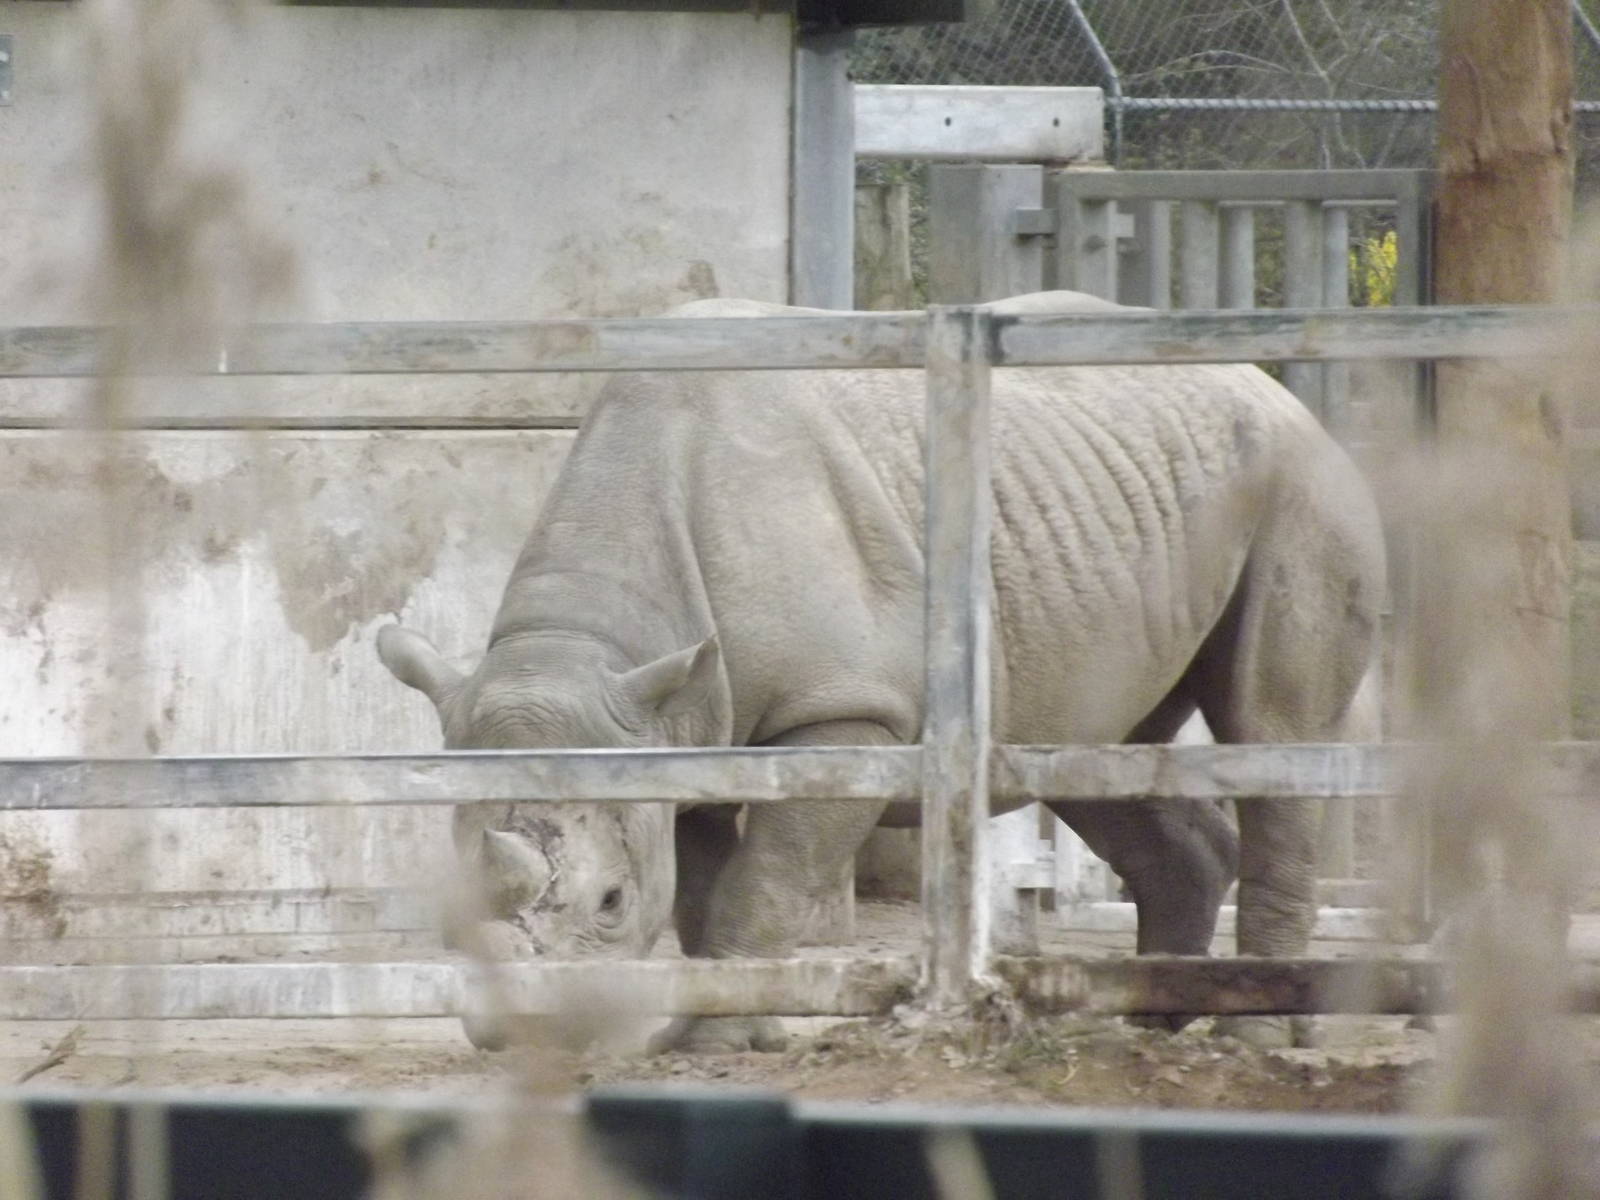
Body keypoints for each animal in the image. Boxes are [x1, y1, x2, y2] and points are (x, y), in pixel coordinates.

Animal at [378, 291, 1384, 1053]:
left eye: (612, 903)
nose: (519, 1038)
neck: (601, 641)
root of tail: (1278, 390)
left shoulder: (845, 714)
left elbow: (763, 880)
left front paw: (711, 1044)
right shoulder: (685, 721)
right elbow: (706, 887)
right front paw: (742, 1031)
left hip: (1301, 488)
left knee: (1272, 733)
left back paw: (1255, 1039)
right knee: (1098, 749)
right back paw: (1155, 1028)